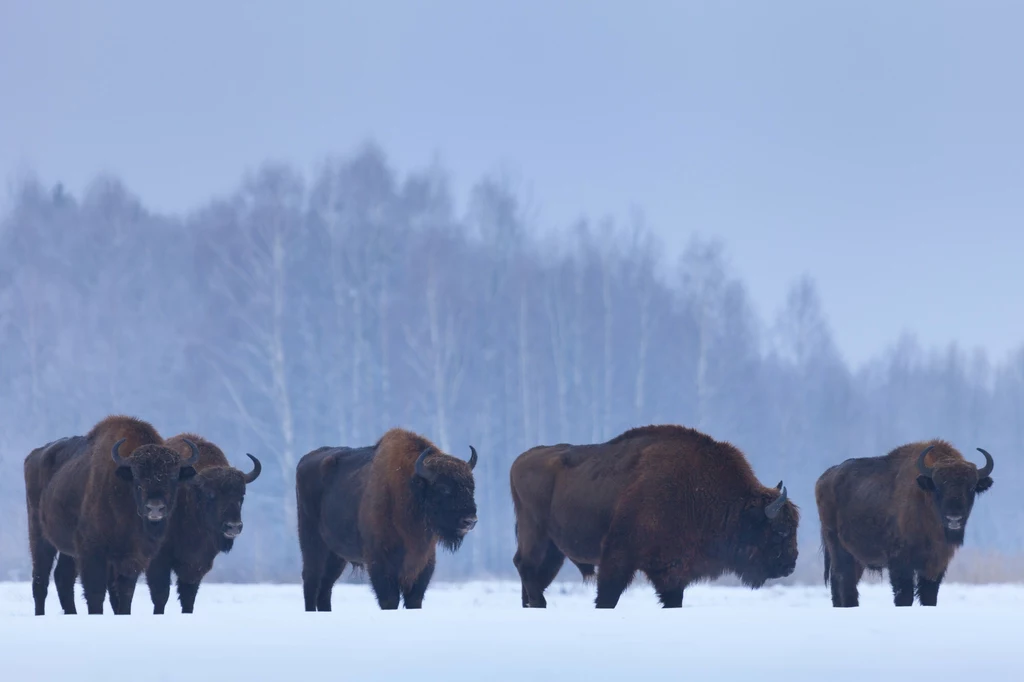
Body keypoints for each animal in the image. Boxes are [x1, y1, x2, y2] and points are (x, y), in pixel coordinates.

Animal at [23, 411, 197, 614]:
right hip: (39, 537)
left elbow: (125, 593)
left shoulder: (132, 558)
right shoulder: (93, 552)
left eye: (174, 476)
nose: (155, 507)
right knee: (40, 581)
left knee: (62, 579)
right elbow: (96, 593)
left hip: (68, 549)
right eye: (137, 477)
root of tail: (34, 455)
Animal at [142, 432, 262, 614]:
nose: (233, 526)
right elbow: (161, 595)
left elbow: (188, 597)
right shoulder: (158, 561)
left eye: (241, 495)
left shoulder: (197, 564)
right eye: (210, 494)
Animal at [296, 428, 479, 606]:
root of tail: (305, 460)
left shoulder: (423, 564)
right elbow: (389, 599)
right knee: (311, 581)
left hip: (336, 555)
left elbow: (414, 598)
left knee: (325, 588)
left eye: (471, 487)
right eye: (443, 488)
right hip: (313, 544)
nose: (470, 521)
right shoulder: (380, 563)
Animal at [509, 421, 798, 606]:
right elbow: (607, 597)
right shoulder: (618, 558)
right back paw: (541, 603)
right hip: (536, 535)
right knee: (525, 566)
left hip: (554, 549)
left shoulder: (672, 570)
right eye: (780, 530)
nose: (790, 564)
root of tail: (519, 461)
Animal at [815, 438, 991, 606]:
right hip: (839, 549)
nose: (954, 518)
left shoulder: (936, 564)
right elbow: (905, 595)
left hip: (855, 557)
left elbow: (929, 595)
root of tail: (824, 478)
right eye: (938, 487)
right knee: (845, 583)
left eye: (970, 488)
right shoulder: (900, 562)